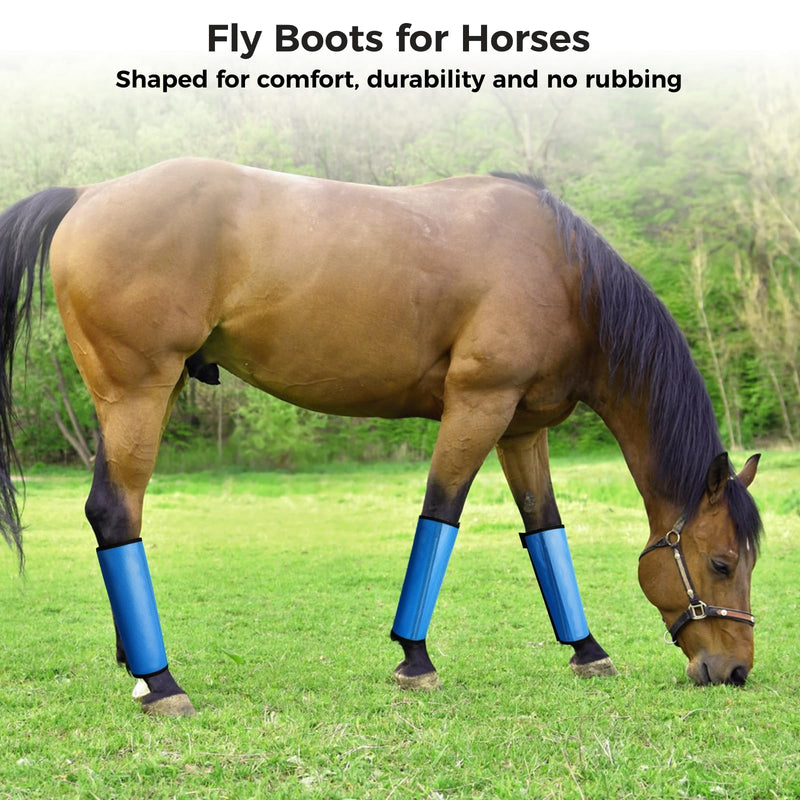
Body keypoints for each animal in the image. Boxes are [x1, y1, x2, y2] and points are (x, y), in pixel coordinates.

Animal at [0, 159, 762, 716]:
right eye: (722, 562)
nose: (735, 670)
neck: (563, 272)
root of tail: (89, 194)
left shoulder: (521, 429)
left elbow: (545, 530)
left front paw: (587, 649)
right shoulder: (477, 406)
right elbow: (441, 514)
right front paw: (415, 657)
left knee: (117, 514)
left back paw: (137, 667)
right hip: (138, 392)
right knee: (113, 511)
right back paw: (162, 683)